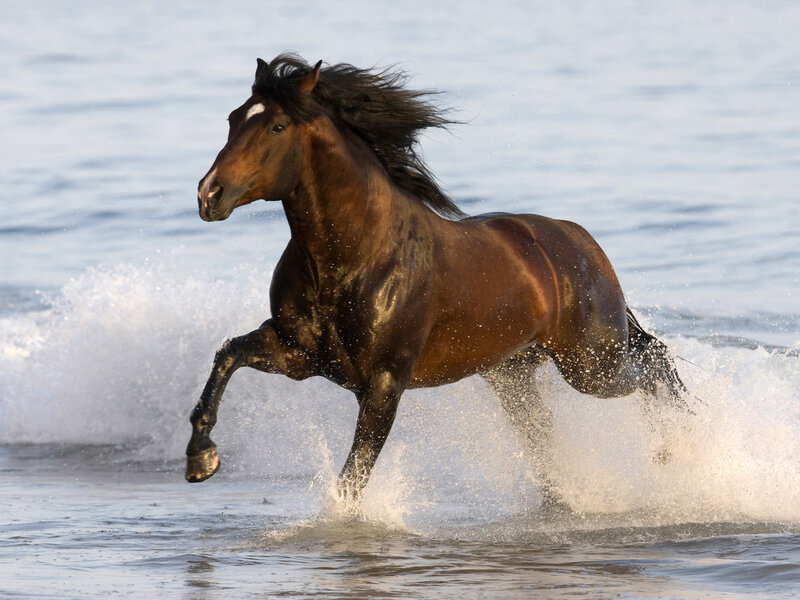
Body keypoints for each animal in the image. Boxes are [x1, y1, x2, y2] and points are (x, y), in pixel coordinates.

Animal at [185, 53, 685, 502]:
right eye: (233, 119)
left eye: (276, 127)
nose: (209, 195)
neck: (354, 258)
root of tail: (580, 240)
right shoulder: (298, 355)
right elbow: (228, 354)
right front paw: (200, 458)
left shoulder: (385, 382)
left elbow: (354, 477)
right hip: (514, 374)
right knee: (549, 431)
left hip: (591, 364)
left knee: (655, 364)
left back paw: (673, 453)